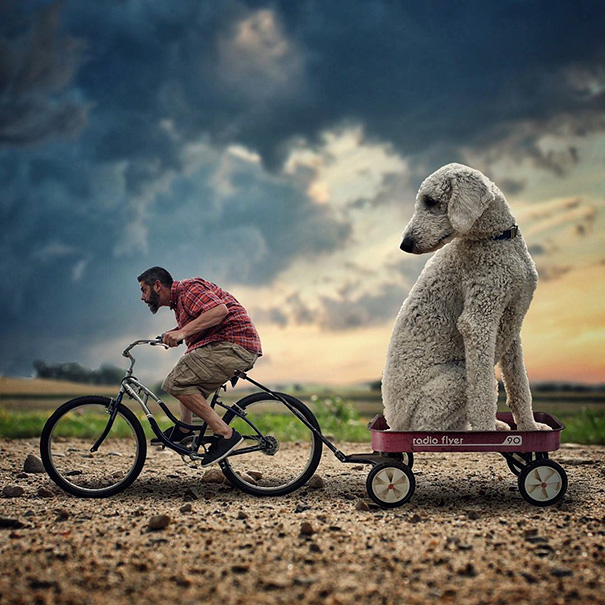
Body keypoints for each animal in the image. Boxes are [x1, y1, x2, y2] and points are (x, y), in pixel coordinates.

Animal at [384, 163, 548, 432]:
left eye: (431, 201)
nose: (405, 244)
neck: (497, 239)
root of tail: (393, 422)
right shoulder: (479, 319)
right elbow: (482, 394)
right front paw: (486, 433)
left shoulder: (512, 321)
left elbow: (519, 386)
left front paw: (530, 428)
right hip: (455, 377)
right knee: (430, 426)